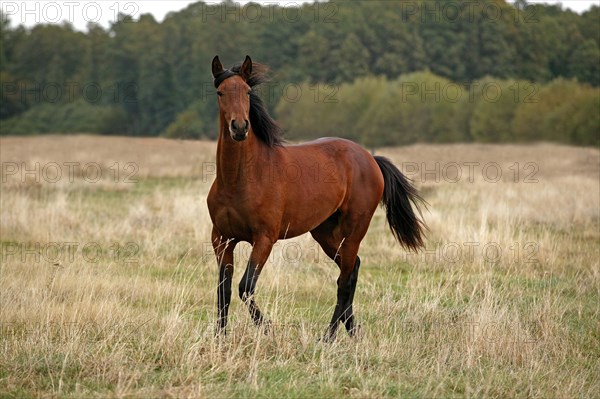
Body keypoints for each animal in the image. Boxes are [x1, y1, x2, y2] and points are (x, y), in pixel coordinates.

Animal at [209, 55, 424, 344]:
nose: (240, 127)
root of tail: (370, 158)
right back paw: (351, 330)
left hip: (354, 231)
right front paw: (219, 338)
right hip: (324, 233)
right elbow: (224, 290)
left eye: (247, 92)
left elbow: (245, 286)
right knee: (352, 269)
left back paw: (329, 337)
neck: (240, 180)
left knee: (344, 280)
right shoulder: (222, 239)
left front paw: (268, 329)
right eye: (220, 92)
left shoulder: (264, 238)